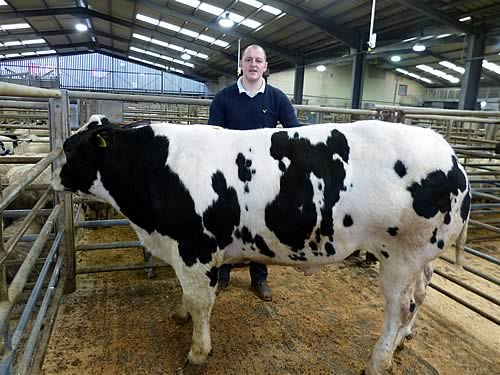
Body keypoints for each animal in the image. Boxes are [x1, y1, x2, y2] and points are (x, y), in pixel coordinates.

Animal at [52, 115, 470, 375]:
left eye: (69, 149)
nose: (52, 176)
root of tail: (450, 155)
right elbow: (189, 298)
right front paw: (180, 314)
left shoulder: (194, 249)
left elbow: (200, 302)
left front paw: (197, 352)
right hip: (421, 259)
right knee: (421, 295)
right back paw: (403, 342)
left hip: (401, 257)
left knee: (400, 308)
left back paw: (379, 360)